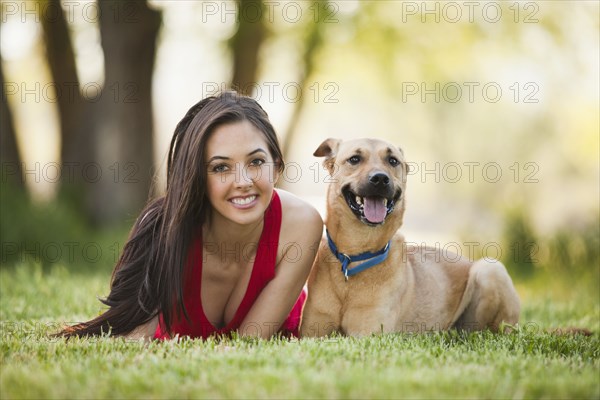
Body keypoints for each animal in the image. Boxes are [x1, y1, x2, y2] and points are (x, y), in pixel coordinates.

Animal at [300, 138, 520, 338]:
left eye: (393, 161)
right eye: (354, 159)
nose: (380, 179)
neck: (355, 255)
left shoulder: (366, 335)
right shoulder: (311, 334)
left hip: (490, 269)